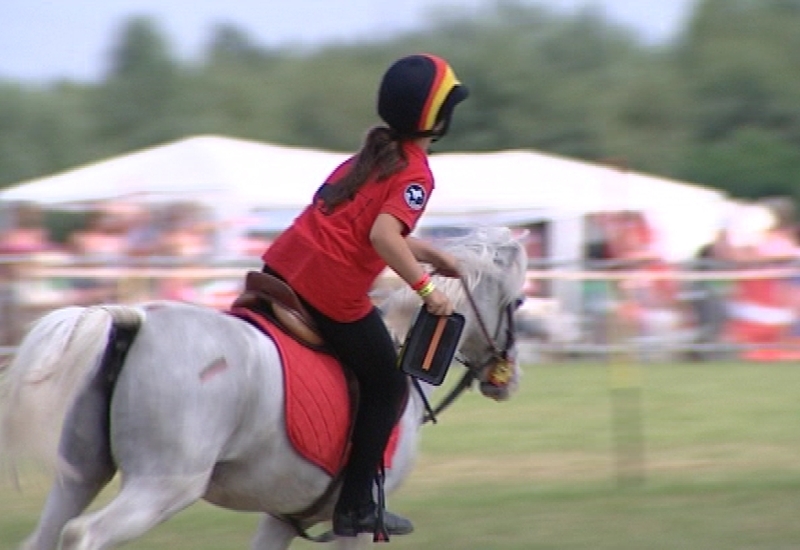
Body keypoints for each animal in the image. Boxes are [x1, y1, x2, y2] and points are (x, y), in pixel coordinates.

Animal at [1, 226, 532, 548]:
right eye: (521, 302)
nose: (509, 380)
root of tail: (136, 319)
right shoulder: (354, 528)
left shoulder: (280, 517)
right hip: (163, 487)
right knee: (83, 534)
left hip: (79, 476)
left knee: (48, 533)